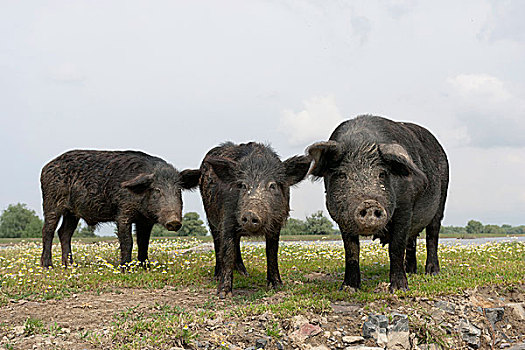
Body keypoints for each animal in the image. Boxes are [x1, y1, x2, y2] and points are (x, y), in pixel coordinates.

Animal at [304, 116, 448, 292]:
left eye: (382, 174)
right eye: (342, 174)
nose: (369, 203)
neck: (362, 143)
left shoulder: (405, 208)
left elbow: (396, 247)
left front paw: (399, 289)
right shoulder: (342, 218)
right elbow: (351, 250)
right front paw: (348, 288)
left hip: (441, 200)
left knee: (432, 235)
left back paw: (432, 272)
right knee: (412, 240)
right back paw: (411, 271)